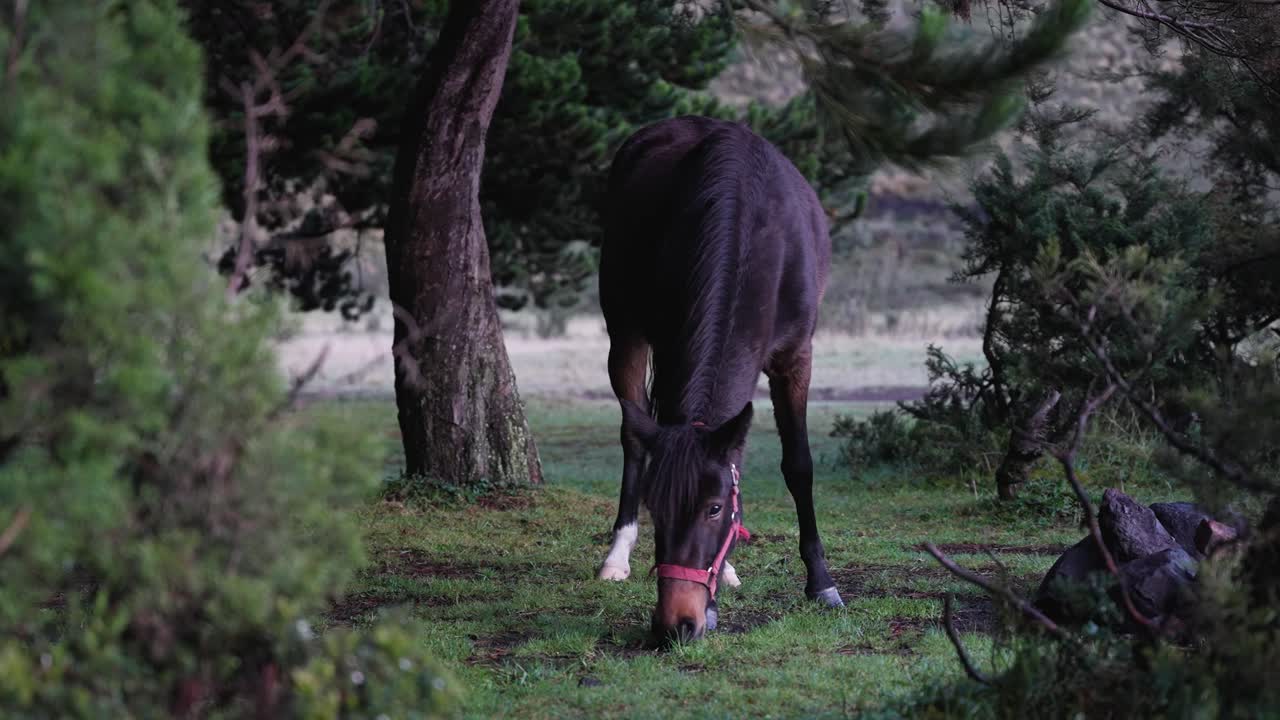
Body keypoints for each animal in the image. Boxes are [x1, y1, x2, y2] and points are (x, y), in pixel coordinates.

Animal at [595, 115, 844, 643]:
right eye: (656, 506)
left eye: (713, 508)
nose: (677, 624)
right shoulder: (670, 343)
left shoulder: (796, 358)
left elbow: (798, 465)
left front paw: (821, 582)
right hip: (625, 333)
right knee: (633, 436)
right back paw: (617, 556)